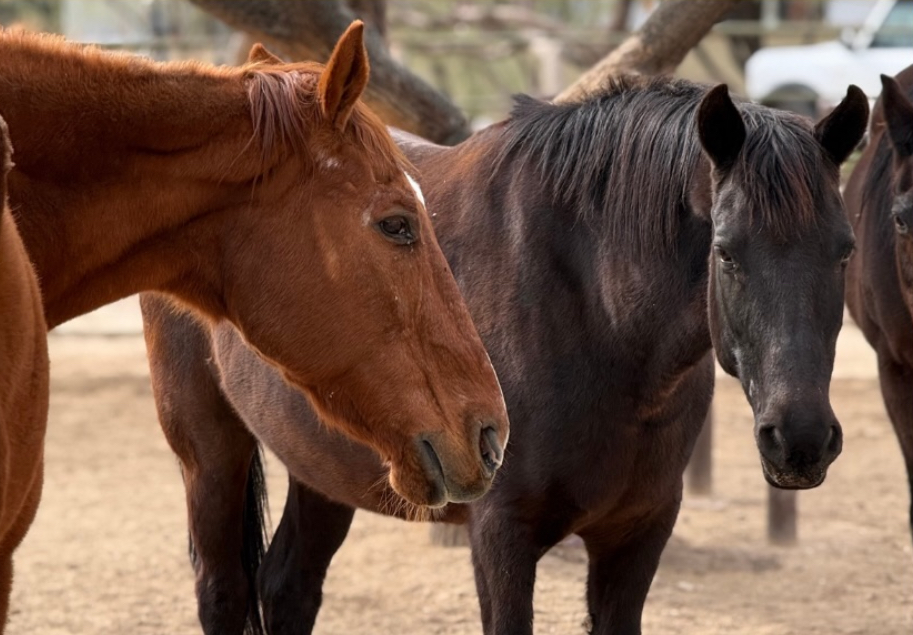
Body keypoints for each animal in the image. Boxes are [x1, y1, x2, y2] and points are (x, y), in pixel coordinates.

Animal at [141, 76, 868, 634]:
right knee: (224, 591)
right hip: (210, 454)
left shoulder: (637, 536)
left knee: (289, 585)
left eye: (844, 251)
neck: (593, 320)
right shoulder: (502, 538)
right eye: (726, 251)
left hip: (322, 466)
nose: (800, 439)